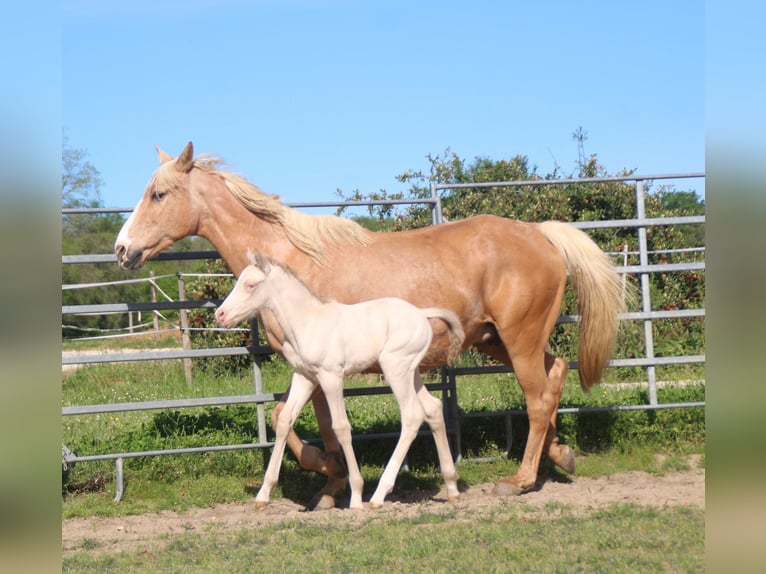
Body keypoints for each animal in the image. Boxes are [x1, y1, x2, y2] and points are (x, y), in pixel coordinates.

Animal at [218, 254, 468, 510]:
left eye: (250, 285)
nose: (221, 314)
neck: (308, 322)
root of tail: (421, 314)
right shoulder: (305, 376)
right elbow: (285, 420)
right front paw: (263, 494)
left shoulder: (331, 377)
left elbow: (341, 427)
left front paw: (356, 495)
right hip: (411, 372)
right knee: (433, 408)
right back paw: (452, 488)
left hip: (395, 368)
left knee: (412, 416)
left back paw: (378, 495)